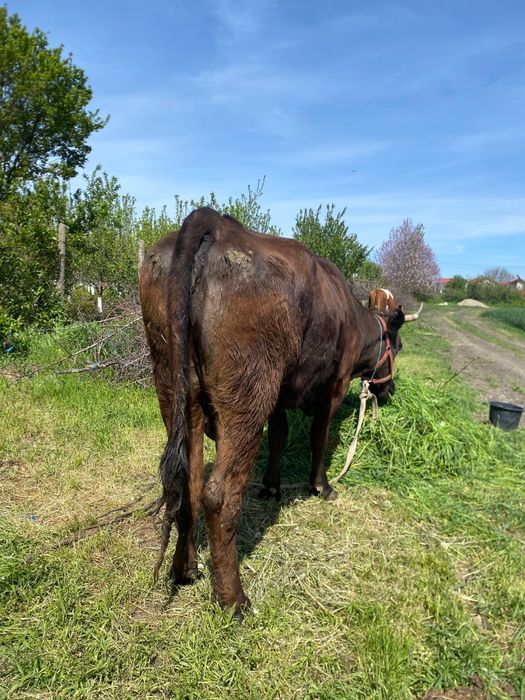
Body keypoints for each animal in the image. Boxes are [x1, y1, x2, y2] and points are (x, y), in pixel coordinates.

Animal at [140, 208, 408, 618]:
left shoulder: (280, 395)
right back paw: (233, 600)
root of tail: (214, 222)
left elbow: (280, 434)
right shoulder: (335, 385)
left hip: (173, 382)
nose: (389, 390)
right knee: (220, 494)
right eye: (398, 344)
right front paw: (322, 486)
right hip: (248, 388)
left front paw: (271, 486)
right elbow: (319, 438)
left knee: (190, 481)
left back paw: (186, 568)